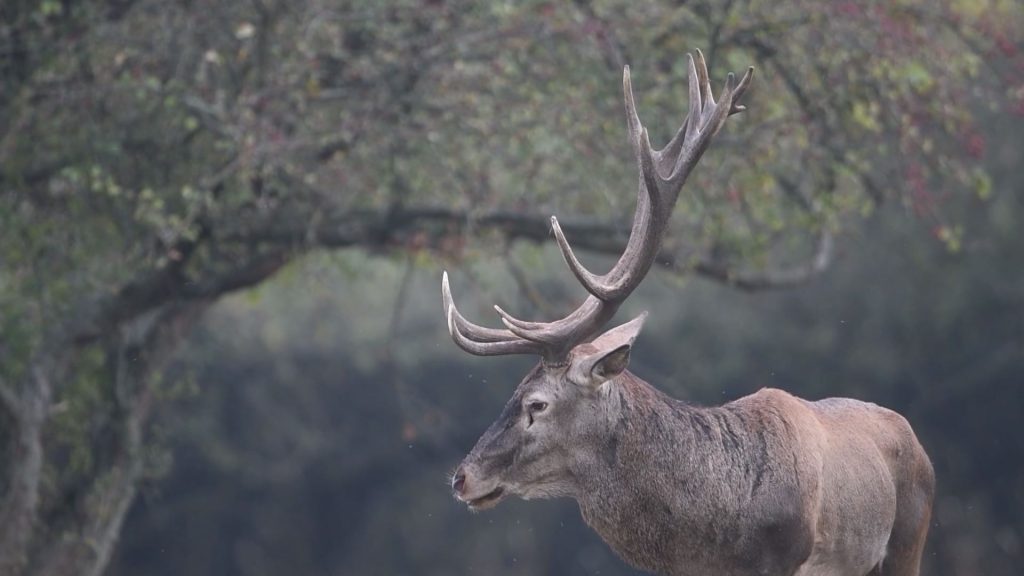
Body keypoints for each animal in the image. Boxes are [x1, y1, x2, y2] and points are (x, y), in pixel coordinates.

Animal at [440, 50, 937, 573]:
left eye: (537, 403)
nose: (462, 478)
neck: (711, 538)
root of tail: (915, 439)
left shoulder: (785, 558)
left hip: (908, 542)